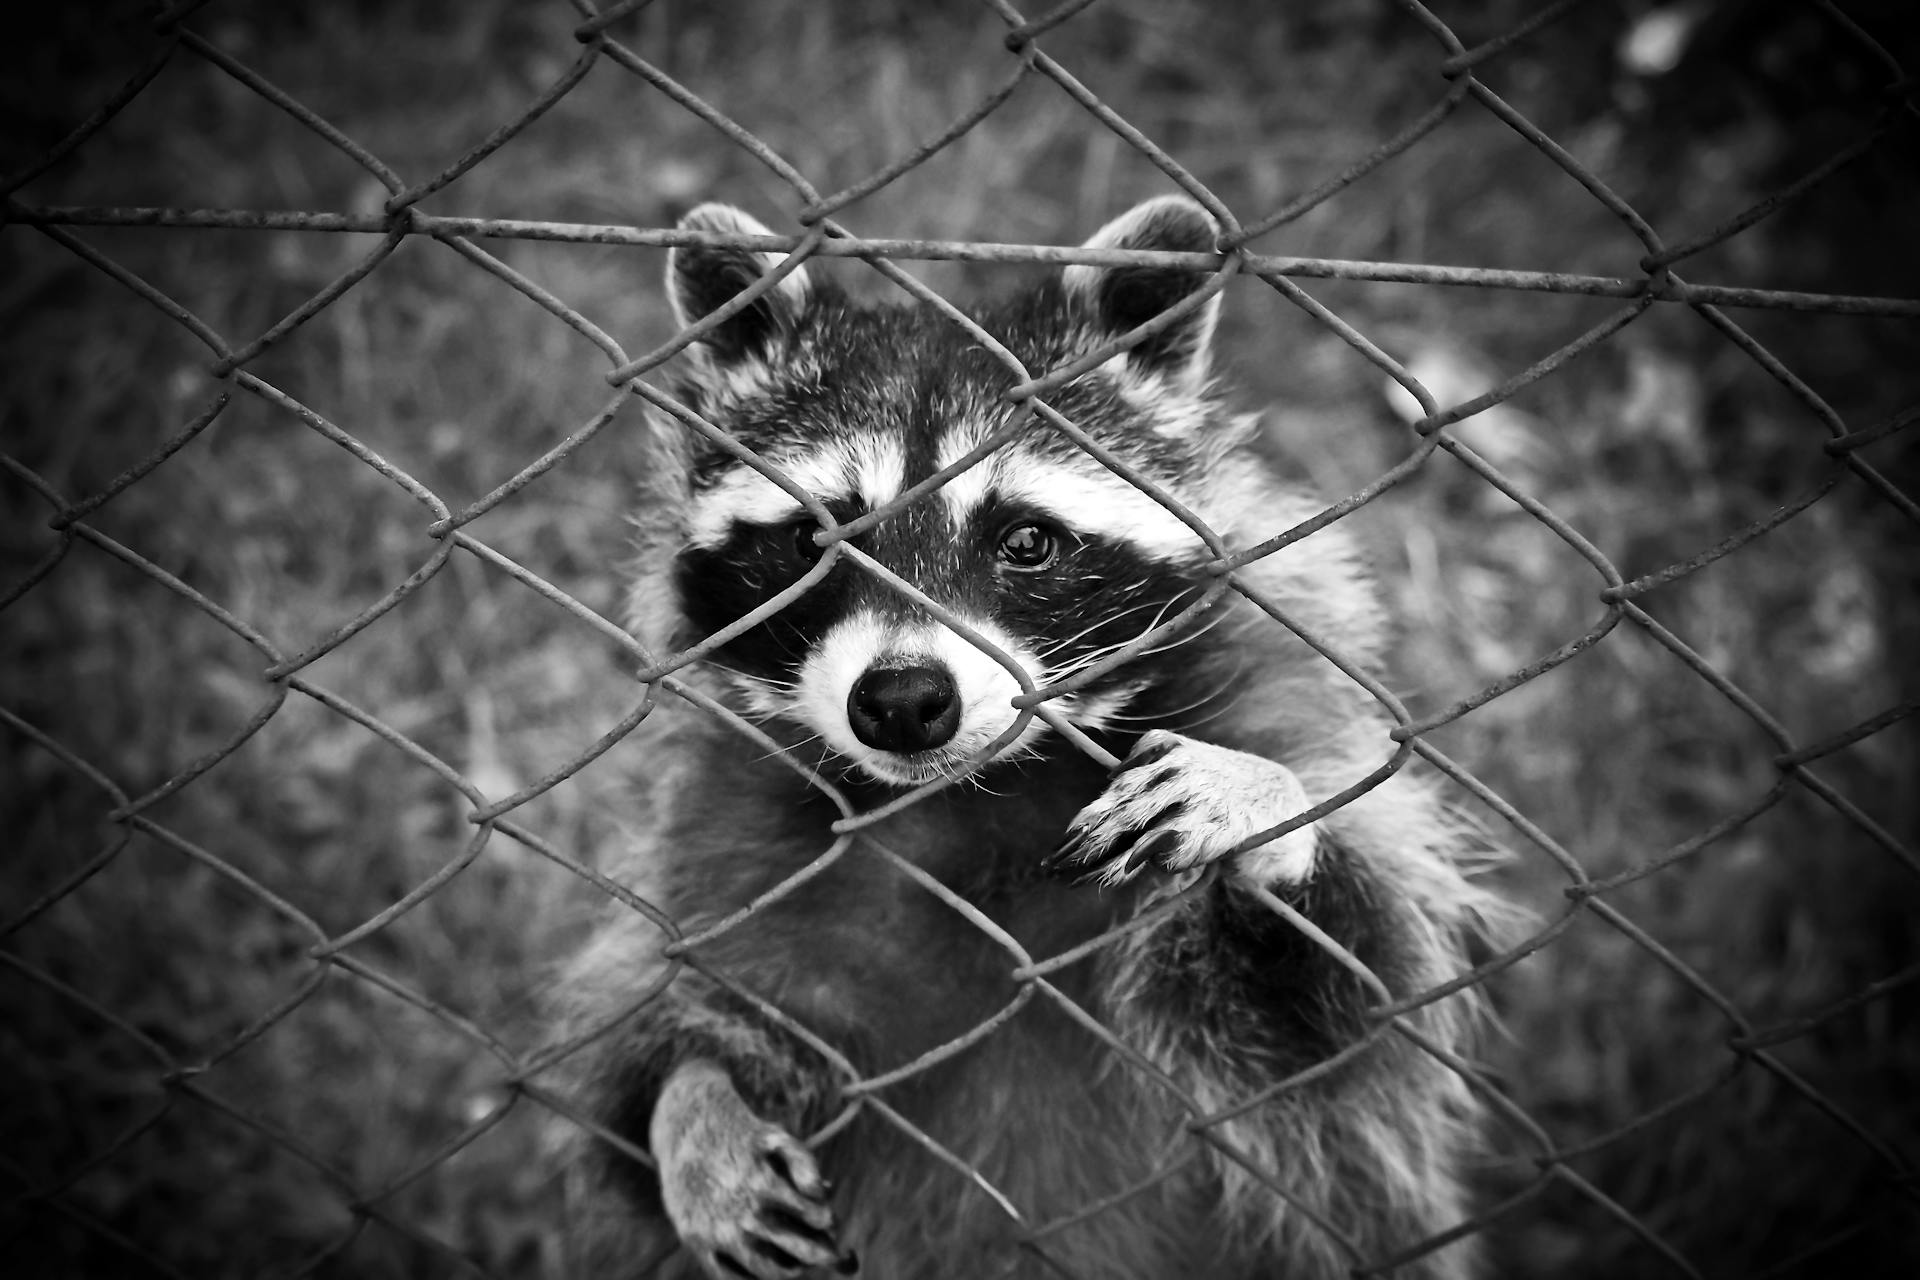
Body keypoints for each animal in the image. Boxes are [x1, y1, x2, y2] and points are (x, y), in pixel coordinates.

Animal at [556, 197, 1512, 1280]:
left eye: (1025, 541)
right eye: (812, 542)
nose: (901, 700)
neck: (974, 797)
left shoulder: (1273, 697)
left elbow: (1340, 1030)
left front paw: (1266, 810)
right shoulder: (730, 838)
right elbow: (666, 1035)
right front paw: (693, 1105)